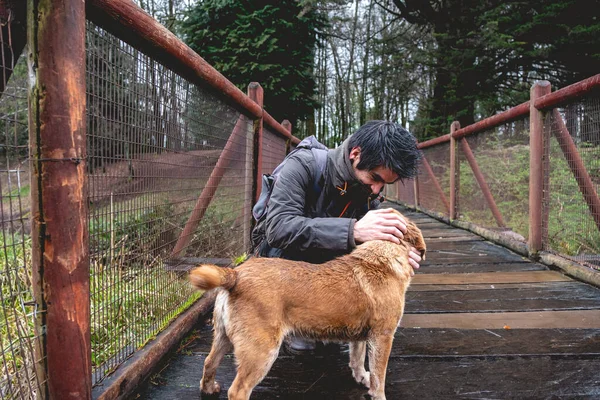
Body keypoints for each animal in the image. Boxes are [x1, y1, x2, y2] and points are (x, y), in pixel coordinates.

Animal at [190, 211, 424, 398]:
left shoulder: (361, 337)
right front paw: (377, 392)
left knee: (209, 363)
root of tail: (235, 274)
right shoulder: (382, 336)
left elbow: (357, 360)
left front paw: (361, 378)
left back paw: (209, 389)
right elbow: (378, 378)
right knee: (238, 390)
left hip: (223, 338)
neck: (381, 257)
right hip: (262, 351)